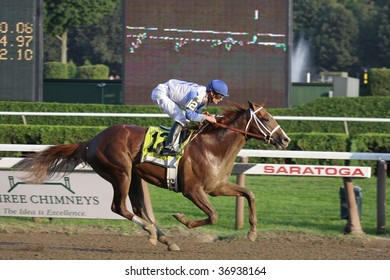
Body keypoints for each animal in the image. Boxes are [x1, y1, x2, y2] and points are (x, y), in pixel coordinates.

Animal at [14, 101, 290, 250]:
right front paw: (182, 219)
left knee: (137, 207)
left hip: (134, 177)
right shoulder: (192, 190)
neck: (213, 146)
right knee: (119, 207)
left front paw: (252, 232)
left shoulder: (217, 186)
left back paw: (164, 238)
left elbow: (249, 193)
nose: (285, 139)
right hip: (120, 172)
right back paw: (152, 232)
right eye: (265, 118)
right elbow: (212, 215)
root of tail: (91, 141)